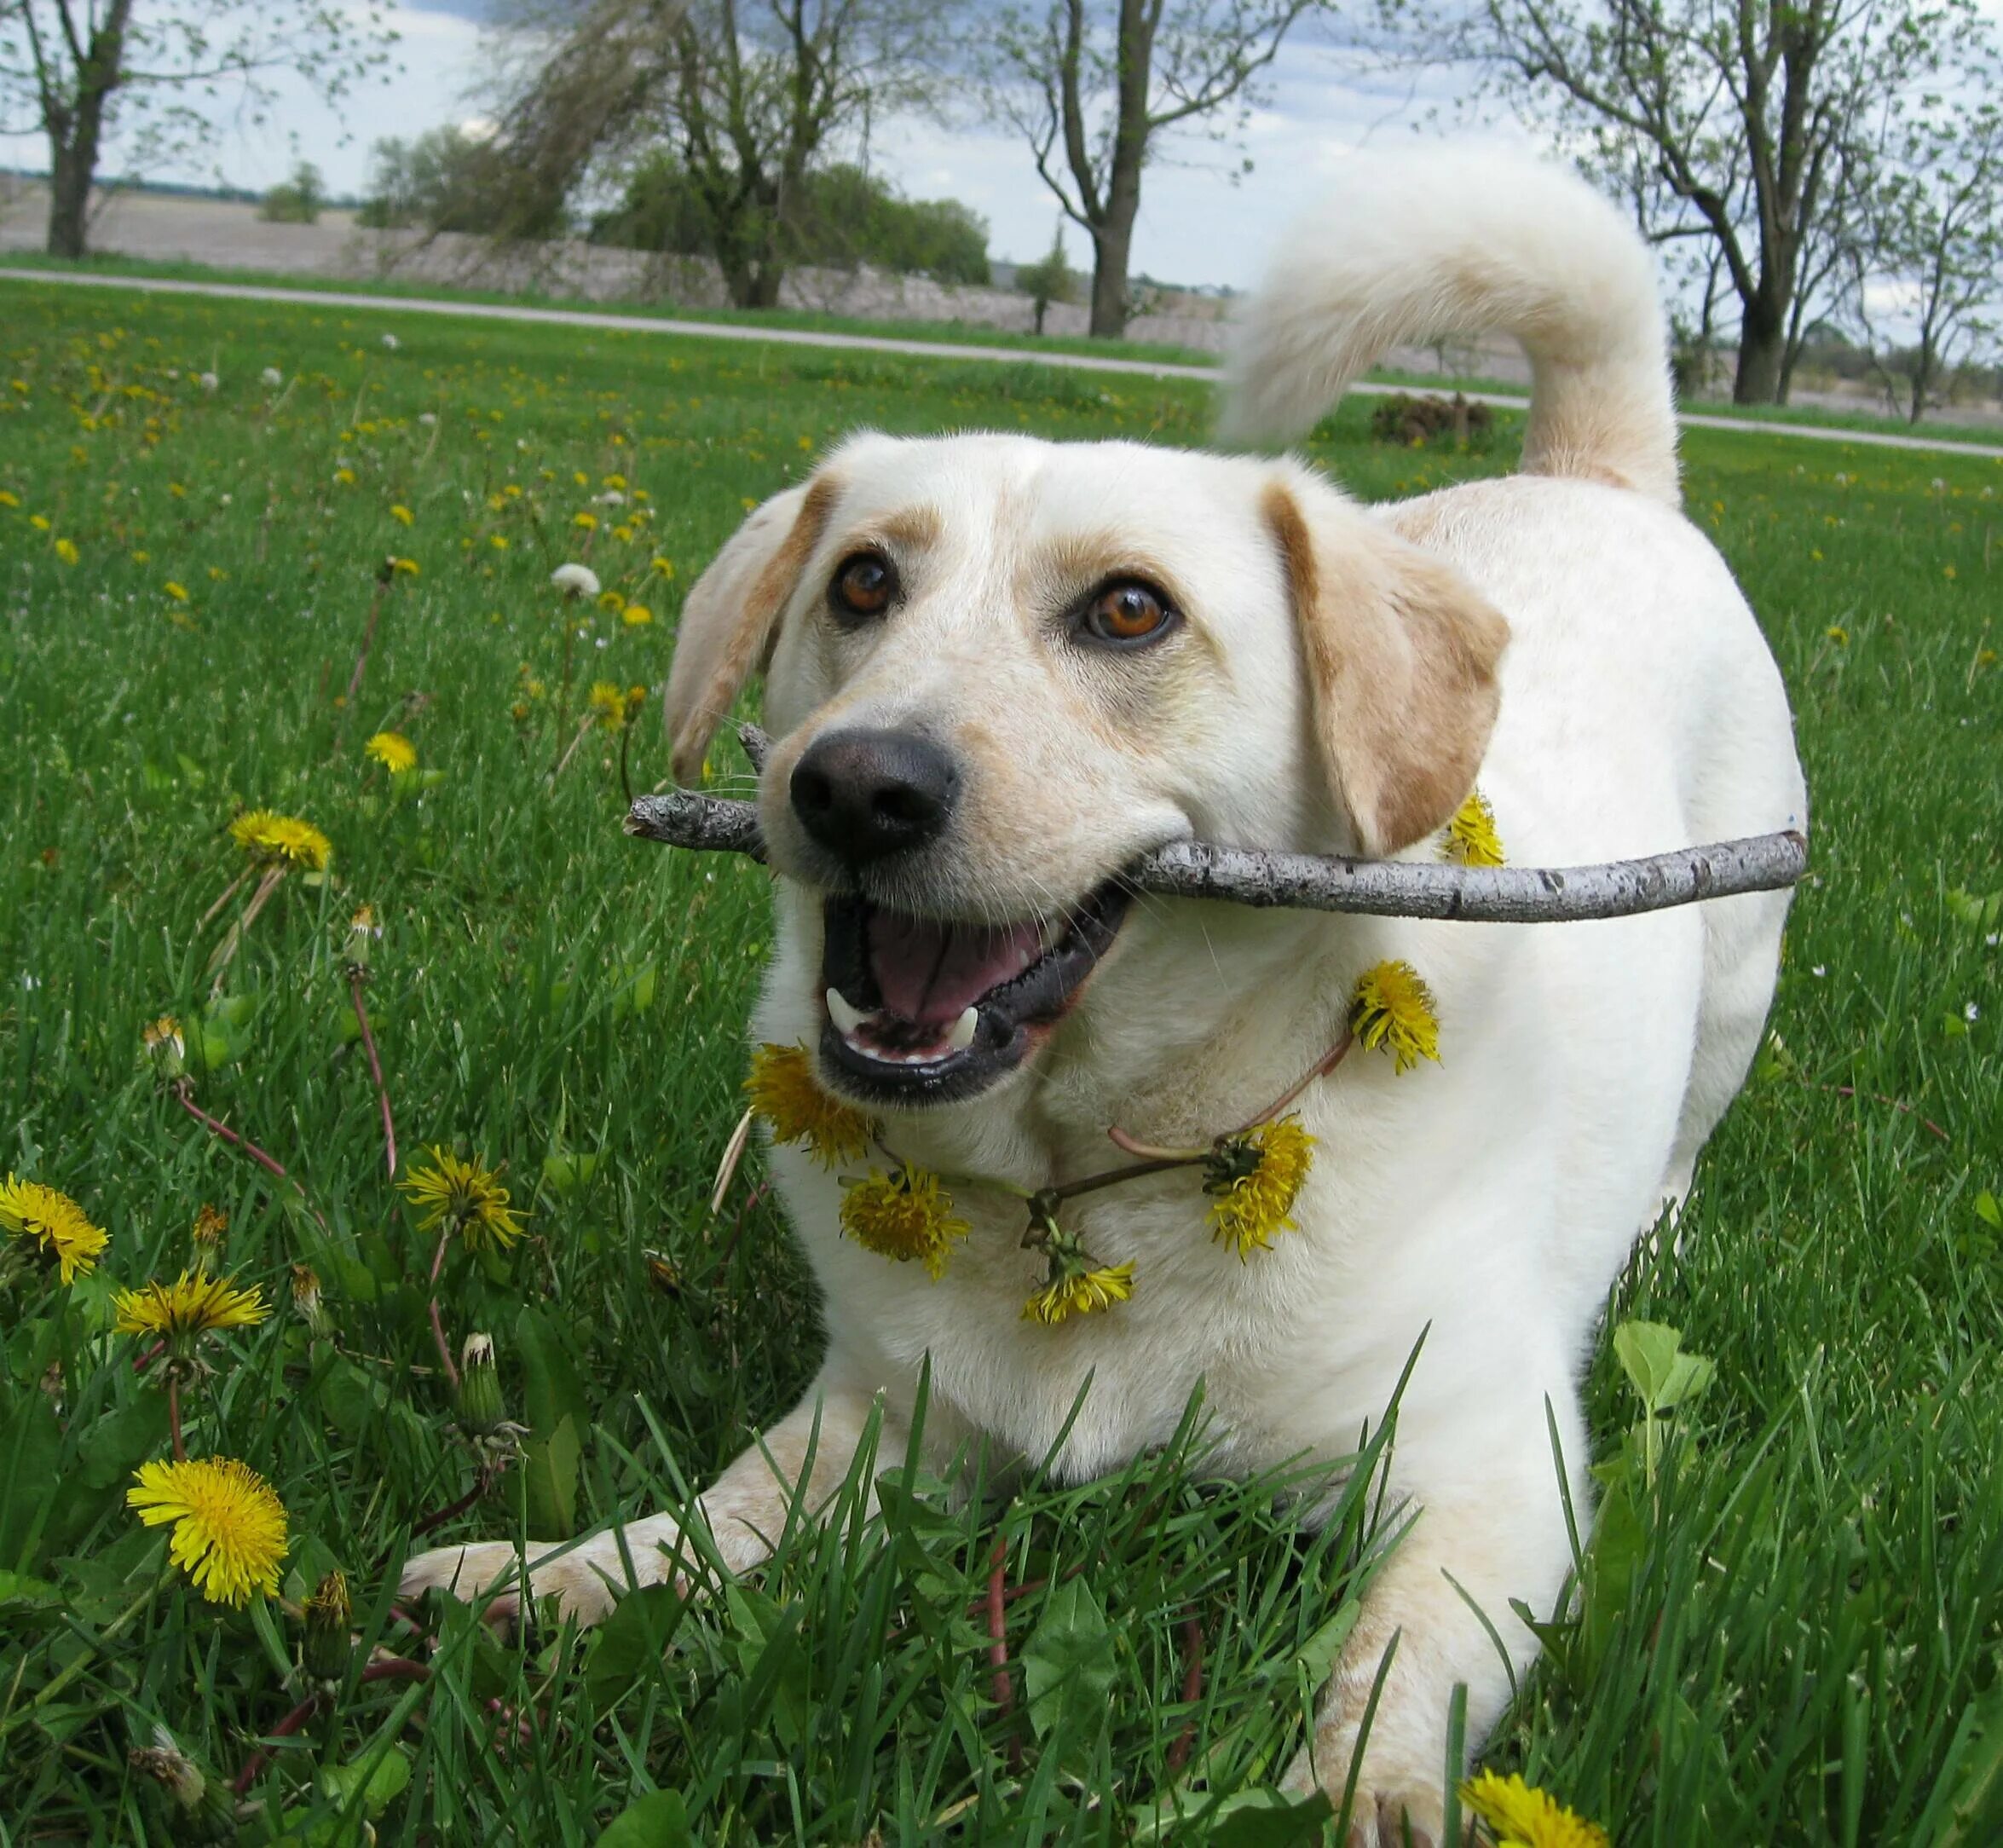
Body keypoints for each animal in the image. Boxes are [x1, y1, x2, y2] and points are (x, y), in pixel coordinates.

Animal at [407, 147, 1803, 1834]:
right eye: (860, 583)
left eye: (1130, 609)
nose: (853, 785)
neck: (1091, 1186)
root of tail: (1598, 475)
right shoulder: (884, 1420)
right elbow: (716, 1517)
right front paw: (556, 1579)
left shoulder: (1489, 1475)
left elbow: (1397, 1660)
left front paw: (1359, 1791)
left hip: (1736, 982)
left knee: (1688, 1133)